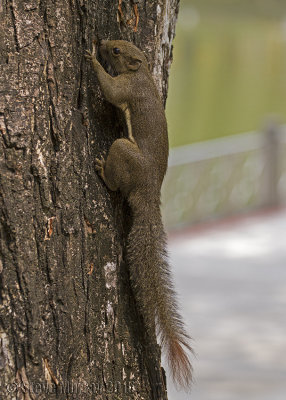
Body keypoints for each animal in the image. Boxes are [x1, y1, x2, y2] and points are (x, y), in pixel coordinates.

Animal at [85, 39, 192, 388]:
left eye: (117, 51)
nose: (103, 42)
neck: (142, 72)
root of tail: (148, 194)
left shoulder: (127, 89)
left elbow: (111, 91)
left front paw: (92, 60)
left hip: (123, 151)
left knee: (117, 180)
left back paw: (103, 171)